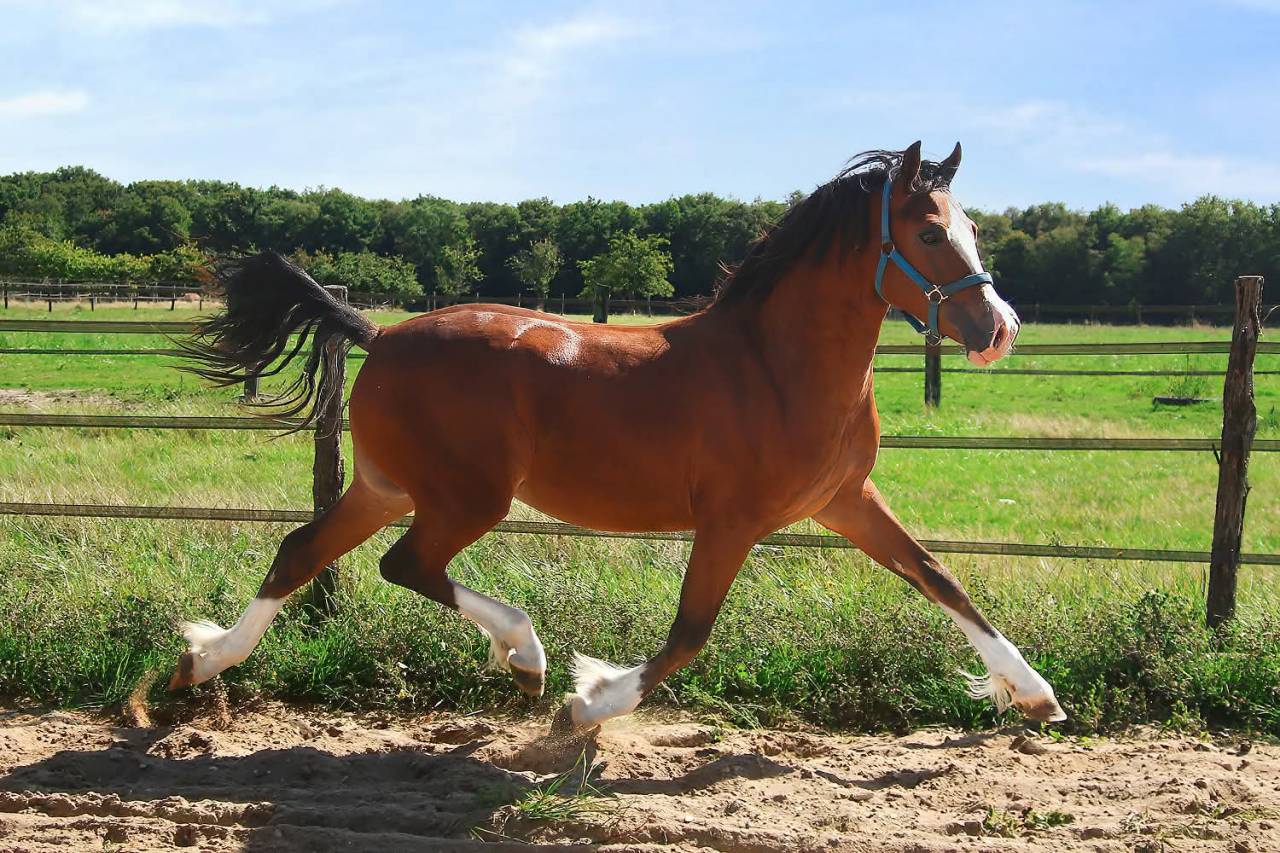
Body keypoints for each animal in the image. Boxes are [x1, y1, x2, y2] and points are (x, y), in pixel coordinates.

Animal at [172, 141, 1066, 729]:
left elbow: (939, 576)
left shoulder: (845, 500)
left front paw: (1034, 692)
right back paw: (527, 656)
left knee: (301, 549)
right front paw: (591, 700)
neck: (778, 365)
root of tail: (380, 334)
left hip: (387, 485)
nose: (1000, 329)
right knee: (405, 564)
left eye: (974, 228)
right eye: (929, 232)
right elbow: (689, 634)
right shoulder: (732, 521)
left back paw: (201, 661)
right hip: (465, 497)